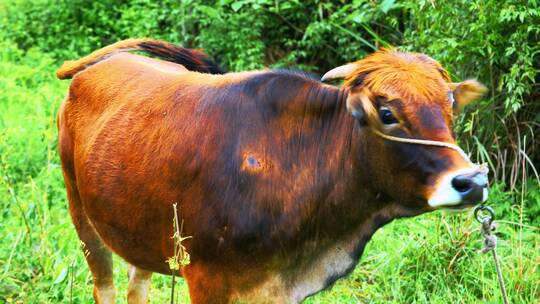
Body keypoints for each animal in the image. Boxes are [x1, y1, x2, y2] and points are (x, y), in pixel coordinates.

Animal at [56, 39, 490, 302]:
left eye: (451, 106)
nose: (471, 182)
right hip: (83, 219)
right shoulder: (206, 279)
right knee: (105, 285)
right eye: (387, 113)